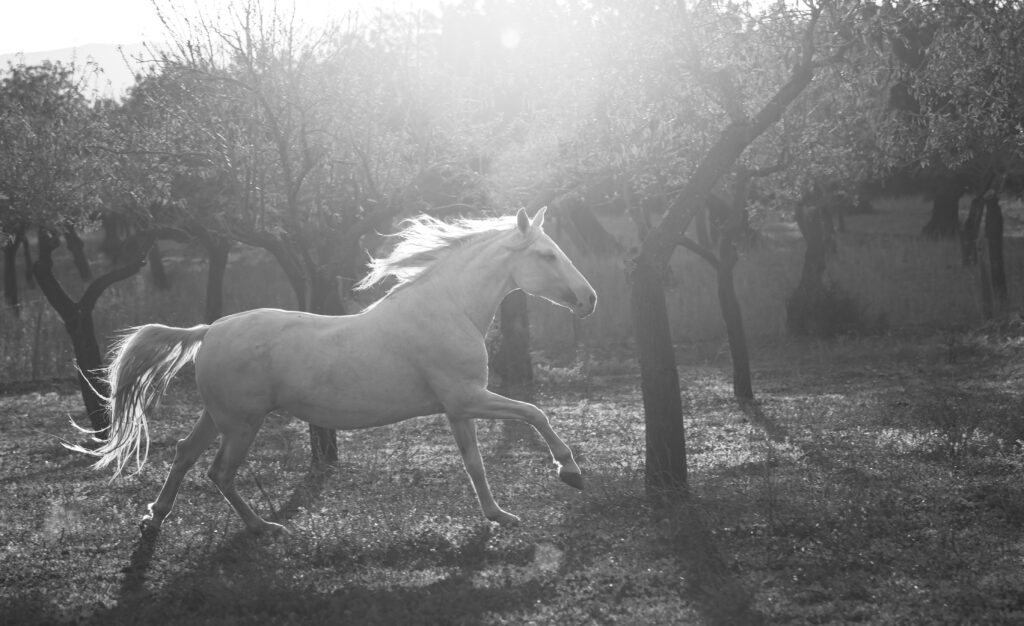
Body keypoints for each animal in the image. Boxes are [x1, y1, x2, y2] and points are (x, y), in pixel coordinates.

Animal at [72, 207, 597, 533]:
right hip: (241, 424)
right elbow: (534, 413)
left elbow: (475, 465)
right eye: (547, 254)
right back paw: (265, 528)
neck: (450, 309)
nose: (590, 299)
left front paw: (498, 516)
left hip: (219, 417)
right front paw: (569, 471)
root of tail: (208, 331)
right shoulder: (468, 398)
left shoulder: (457, 408)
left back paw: (155, 519)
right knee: (219, 473)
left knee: (184, 455)